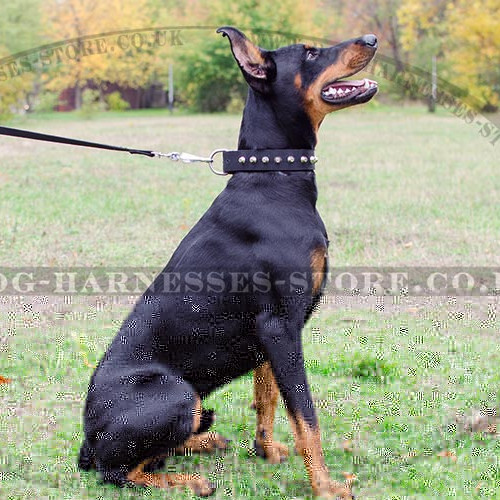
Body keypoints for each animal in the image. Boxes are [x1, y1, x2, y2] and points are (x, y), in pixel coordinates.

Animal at [79, 26, 376, 496]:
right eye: (310, 52)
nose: (371, 38)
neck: (273, 177)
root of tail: (87, 442)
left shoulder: (268, 335)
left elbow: (267, 397)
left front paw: (266, 450)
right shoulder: (281, 327)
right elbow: (306, 417)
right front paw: (325, 487)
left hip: (196, 403)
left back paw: (203, 442)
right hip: (177, 393)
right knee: (118, 472)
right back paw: (187, 480)